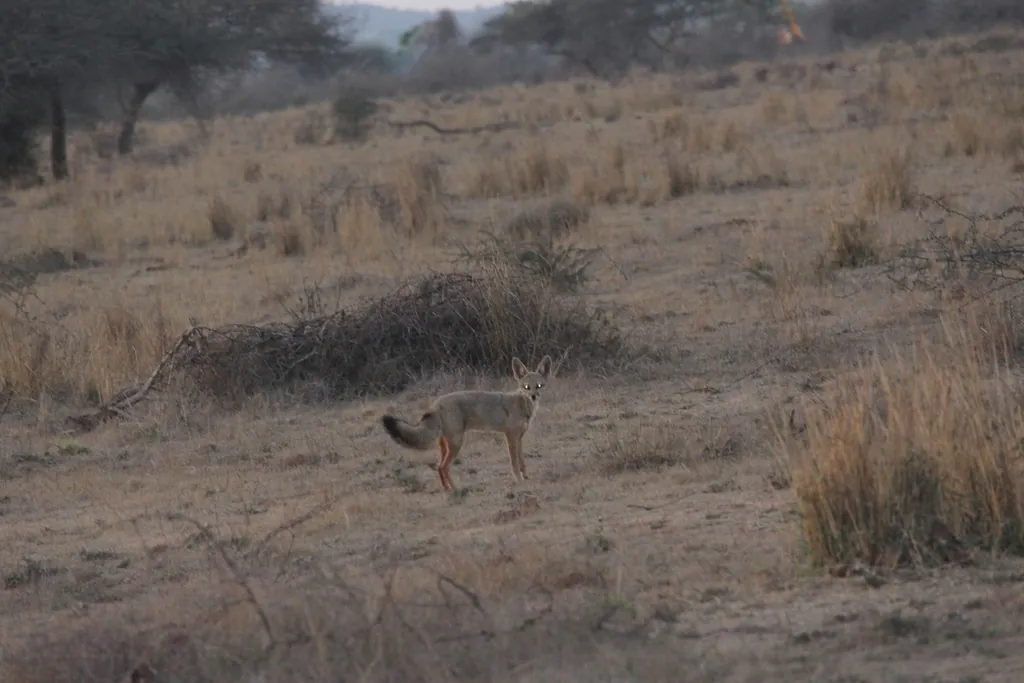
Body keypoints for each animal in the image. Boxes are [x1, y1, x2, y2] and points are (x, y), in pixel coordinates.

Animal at [380, 355, 554, 493]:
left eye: (539, 386)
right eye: (526, 387)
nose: (534, 396)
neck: (522, 406)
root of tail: (436, 404)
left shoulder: (519, 438)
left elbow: (522, 461)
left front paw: (526, 477)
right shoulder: (510, 436)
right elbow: (514, 462)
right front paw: (518, 480)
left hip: (445, 446)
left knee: (438, 467)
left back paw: (447, 489)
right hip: (457, 444)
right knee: (443, 467)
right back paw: (455, 489)